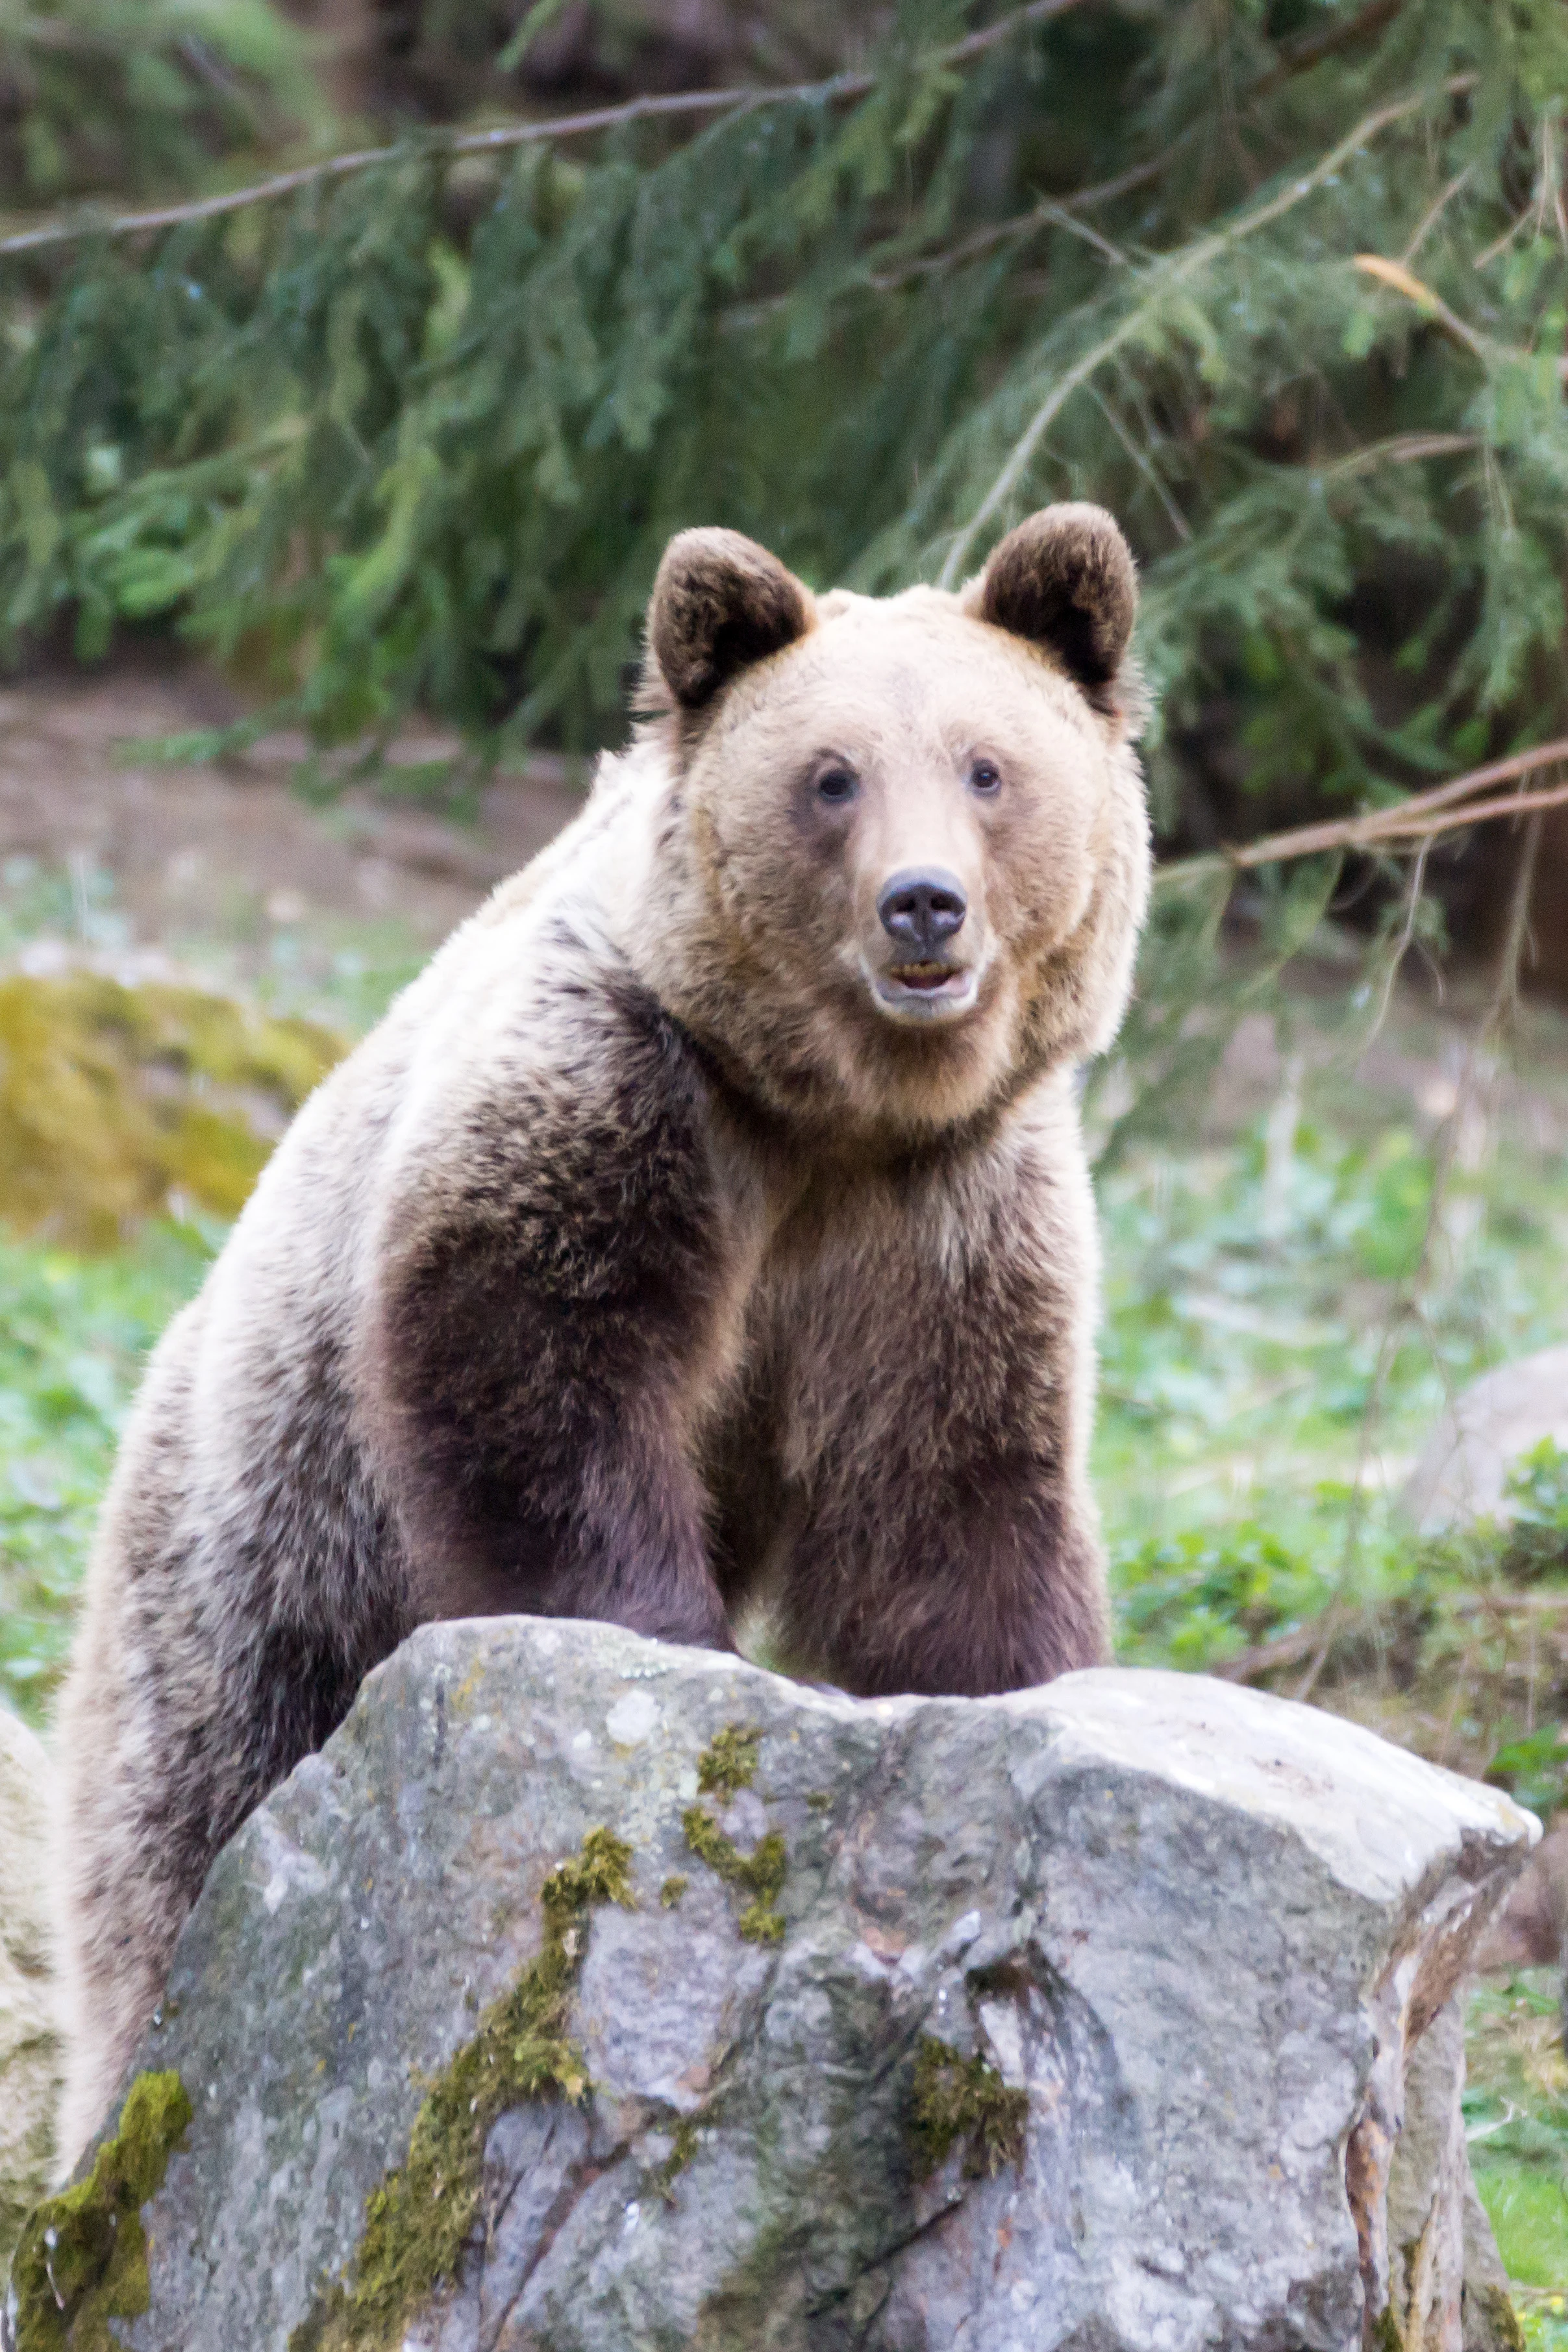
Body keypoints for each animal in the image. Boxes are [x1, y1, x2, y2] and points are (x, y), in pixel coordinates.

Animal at [52, 502, 1151, 2168]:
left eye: (986, 766)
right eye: (830, 774)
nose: (923, 906)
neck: (832, 1116)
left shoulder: (940, 1226)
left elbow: (944, 1493)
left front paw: (1011, 1690)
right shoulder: (622, 1095)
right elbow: (538, 1377)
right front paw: (670, 1643)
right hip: (253, 1561)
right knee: (182, 1839)